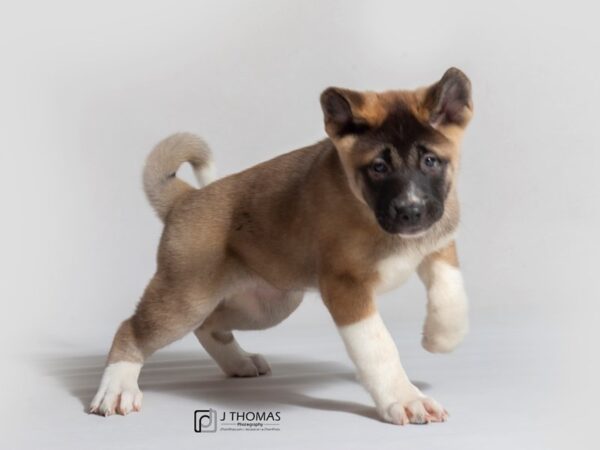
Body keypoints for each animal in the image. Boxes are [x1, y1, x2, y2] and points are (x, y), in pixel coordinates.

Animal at [89, 67, 474, 426]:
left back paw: (240, 362)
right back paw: (117, 389)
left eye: (430, 161)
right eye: (379, 167)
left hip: (268, 306)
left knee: (209, 325)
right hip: (186, 299)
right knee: (132, 329)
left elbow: (452, 292)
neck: (365, 208)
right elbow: (378, 346)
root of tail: (186, 198)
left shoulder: (440, 243)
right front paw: (405, 398)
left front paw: (440, 337)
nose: (410, 212)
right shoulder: (346, 289)